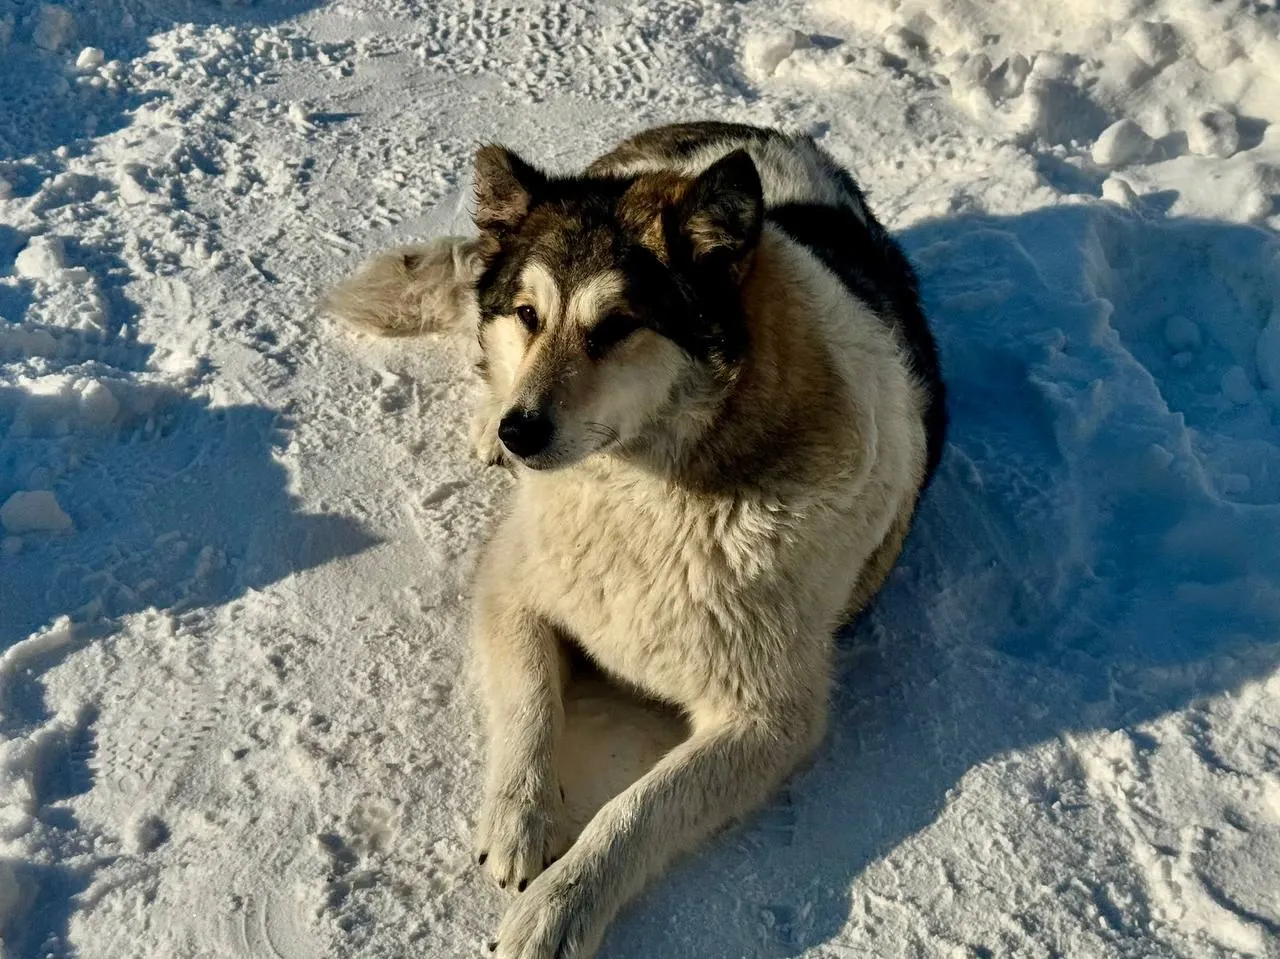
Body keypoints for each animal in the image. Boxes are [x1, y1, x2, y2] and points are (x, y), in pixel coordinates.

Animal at [325, 121, 947, 957]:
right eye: (527, 314)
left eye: (617, 326)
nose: (521, 433)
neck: (652, 493)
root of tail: (737, 133)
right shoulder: (512, 588)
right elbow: (530, 706)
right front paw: (518, 820)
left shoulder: (767, 719)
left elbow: (637, 809)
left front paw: (555, 910)